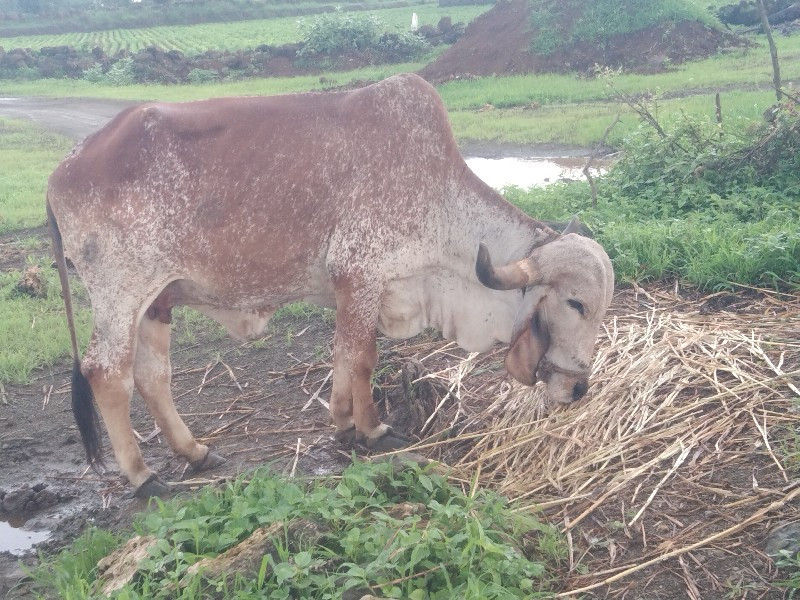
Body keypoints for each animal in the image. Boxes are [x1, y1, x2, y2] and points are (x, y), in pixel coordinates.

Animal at [47, 74, 616, 496]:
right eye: (576, 303)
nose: (578, 388)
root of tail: (65, 168)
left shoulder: (354, 289)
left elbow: (343, 353)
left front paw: (342, 421)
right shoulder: (361, 274)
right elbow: (363, 357)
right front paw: (372, 429)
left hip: (156, 300)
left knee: (152, 376)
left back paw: (195, 452)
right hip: (121, 292)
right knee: (107, 373)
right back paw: (142, 476)